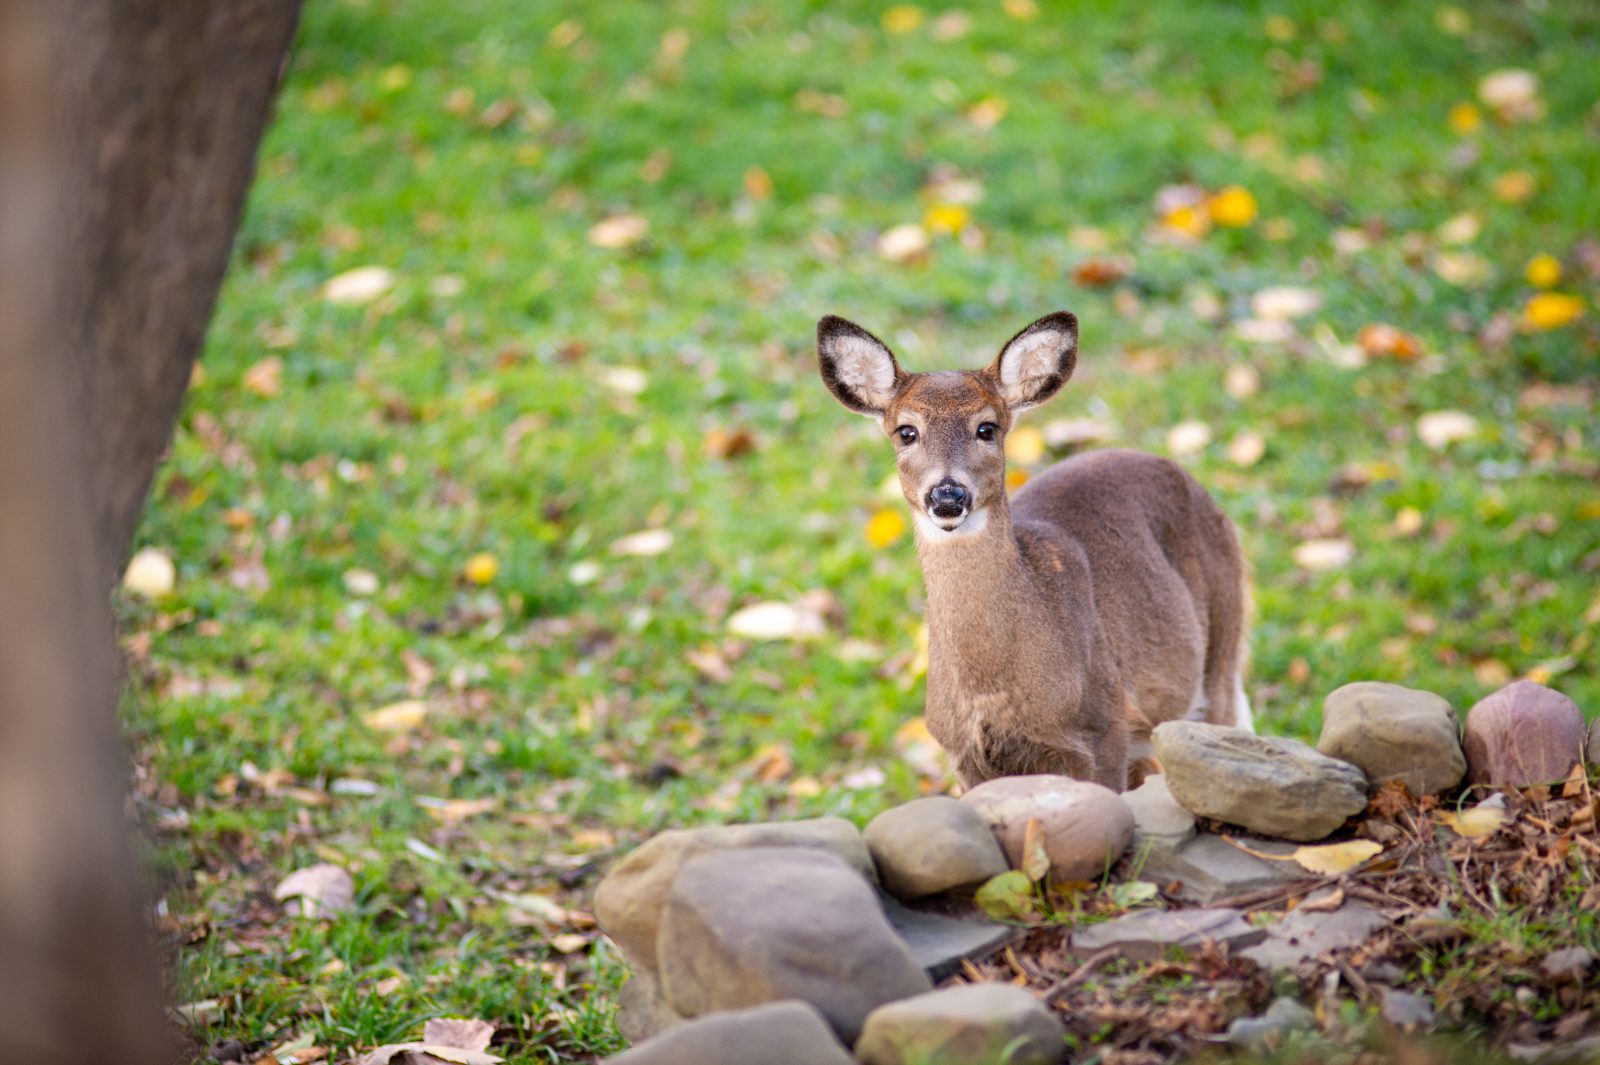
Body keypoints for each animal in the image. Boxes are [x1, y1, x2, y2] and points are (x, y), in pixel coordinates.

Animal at [817, 311, 1250, 793]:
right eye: (906, 431)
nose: (947, 496)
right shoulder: (963, 754)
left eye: (987, 428)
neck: (993, 687)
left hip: (1222, 645)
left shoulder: (1104, 726)